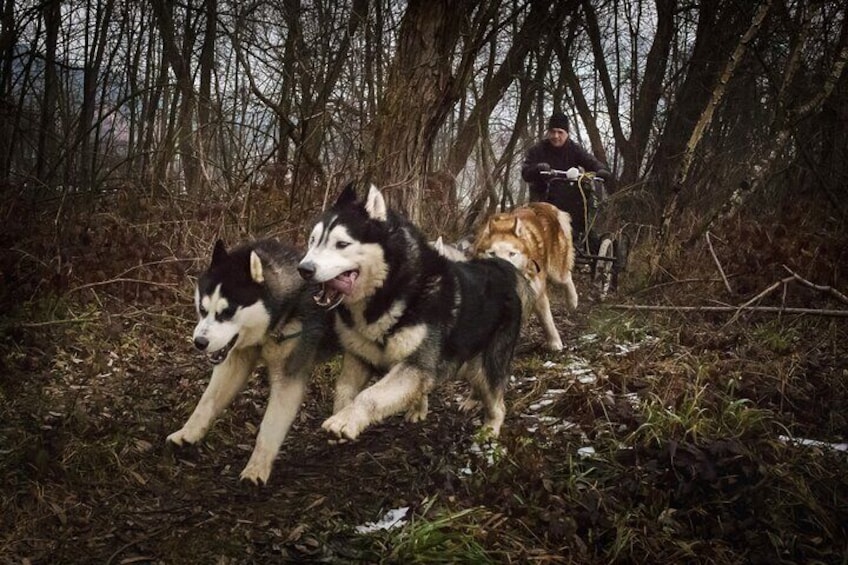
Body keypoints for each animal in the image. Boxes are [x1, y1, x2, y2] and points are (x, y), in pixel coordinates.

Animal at [166, 239, 334, 484]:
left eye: (227, 312)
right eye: (203, 309)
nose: (199, 342)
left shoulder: (288, 377)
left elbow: (269, 426)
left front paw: (256, 469)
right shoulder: (234, 361)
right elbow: (206, 402)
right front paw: (187, 433)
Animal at [294, 184, 528, 440]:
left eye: (342, 244)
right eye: (312, 241)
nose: (304, 269)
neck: (389, 288)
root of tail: (499, 268)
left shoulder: (415, 364)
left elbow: (369, 395)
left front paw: (345, 420)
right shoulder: (360, 357)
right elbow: (344, 389)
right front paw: (342, 412)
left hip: (486, 363)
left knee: (496, 399)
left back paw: (490, 428)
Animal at [474, 203, 580, 350]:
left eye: (512, 254)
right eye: (492, 253)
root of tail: (544, 205)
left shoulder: (537, 292)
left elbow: (546, 320)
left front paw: (554, 342)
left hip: (556, 270)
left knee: (566, 277)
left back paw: (572, 301)